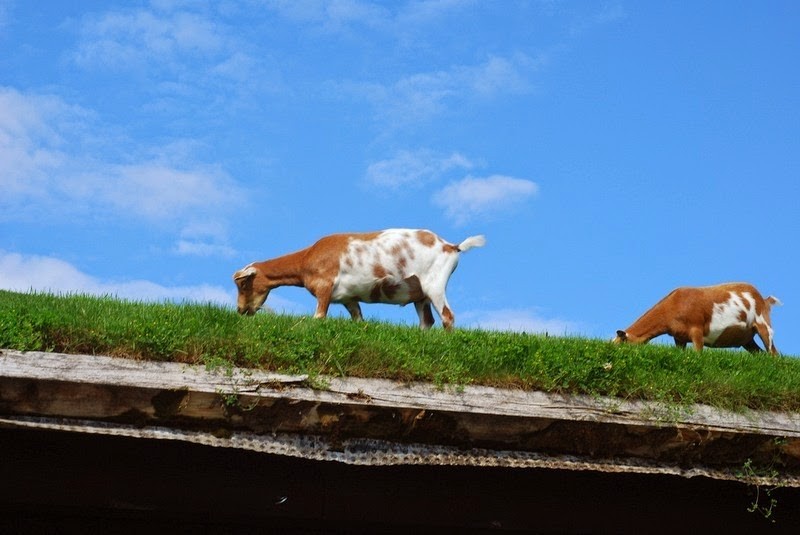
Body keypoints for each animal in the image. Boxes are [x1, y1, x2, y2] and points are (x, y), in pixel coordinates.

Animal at [230, 228, 482, 328]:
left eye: (243, 283)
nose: (241, 310)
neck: (307, 259)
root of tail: (450, 246)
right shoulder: (348, 299)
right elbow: (359, 320)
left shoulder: (324, 289)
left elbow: (318, 317)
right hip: (420, 294)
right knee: (426, 321)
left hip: (435, 285)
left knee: (448, 317)